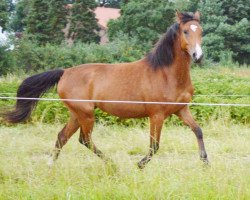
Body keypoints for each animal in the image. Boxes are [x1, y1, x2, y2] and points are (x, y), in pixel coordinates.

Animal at [2, 11, 208, 169]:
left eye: (201, 31)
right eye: (185, 31)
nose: (198, 56)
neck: (166, 74)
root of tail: (65, 72)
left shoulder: (181, 110)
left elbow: (198, 131)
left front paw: (205, 162)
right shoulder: (156, 114)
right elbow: (154, 145)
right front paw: (139, 165)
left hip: (76, 114)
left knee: (63, 137)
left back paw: (50, 165)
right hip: (86, 114)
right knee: (84, 139)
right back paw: (111, 163)